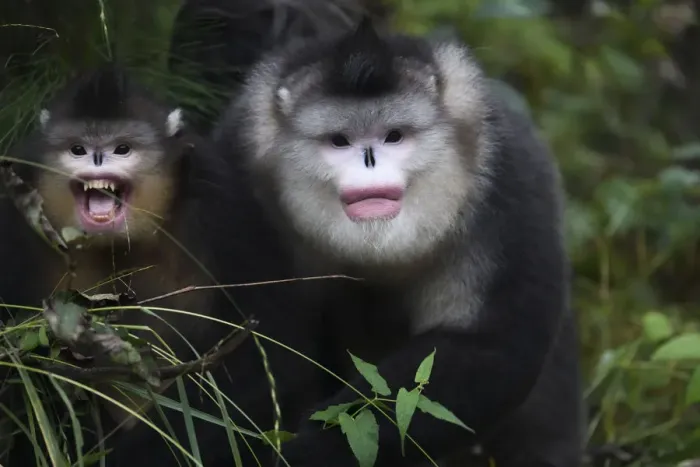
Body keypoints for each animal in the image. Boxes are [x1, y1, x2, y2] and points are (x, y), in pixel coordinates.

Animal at [211, 15, 585, 467]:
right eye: (339, 140)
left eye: (393, 136)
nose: (369, 161)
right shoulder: (238, 181)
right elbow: (250, 350)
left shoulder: (509, 183)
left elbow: (491, 347)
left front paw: (311, 450)